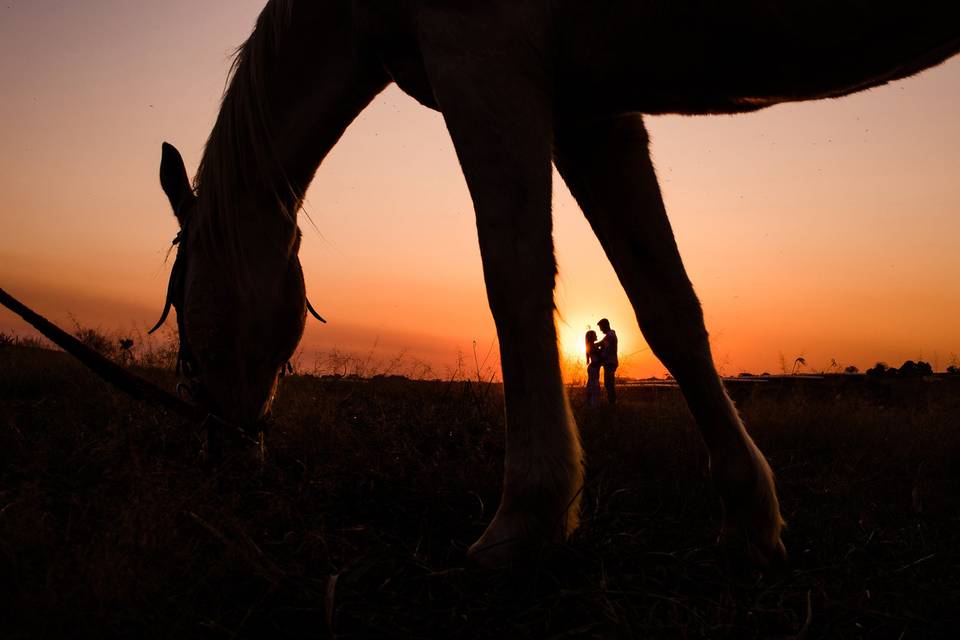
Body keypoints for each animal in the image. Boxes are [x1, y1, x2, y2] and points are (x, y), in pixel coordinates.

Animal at [3, 1, 956, 568]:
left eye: (181, 320)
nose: (225, 462)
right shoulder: (591, 109)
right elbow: (668, 305)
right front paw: (751, 516)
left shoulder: (484, 60)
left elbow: (515, 282)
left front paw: (526, 518)